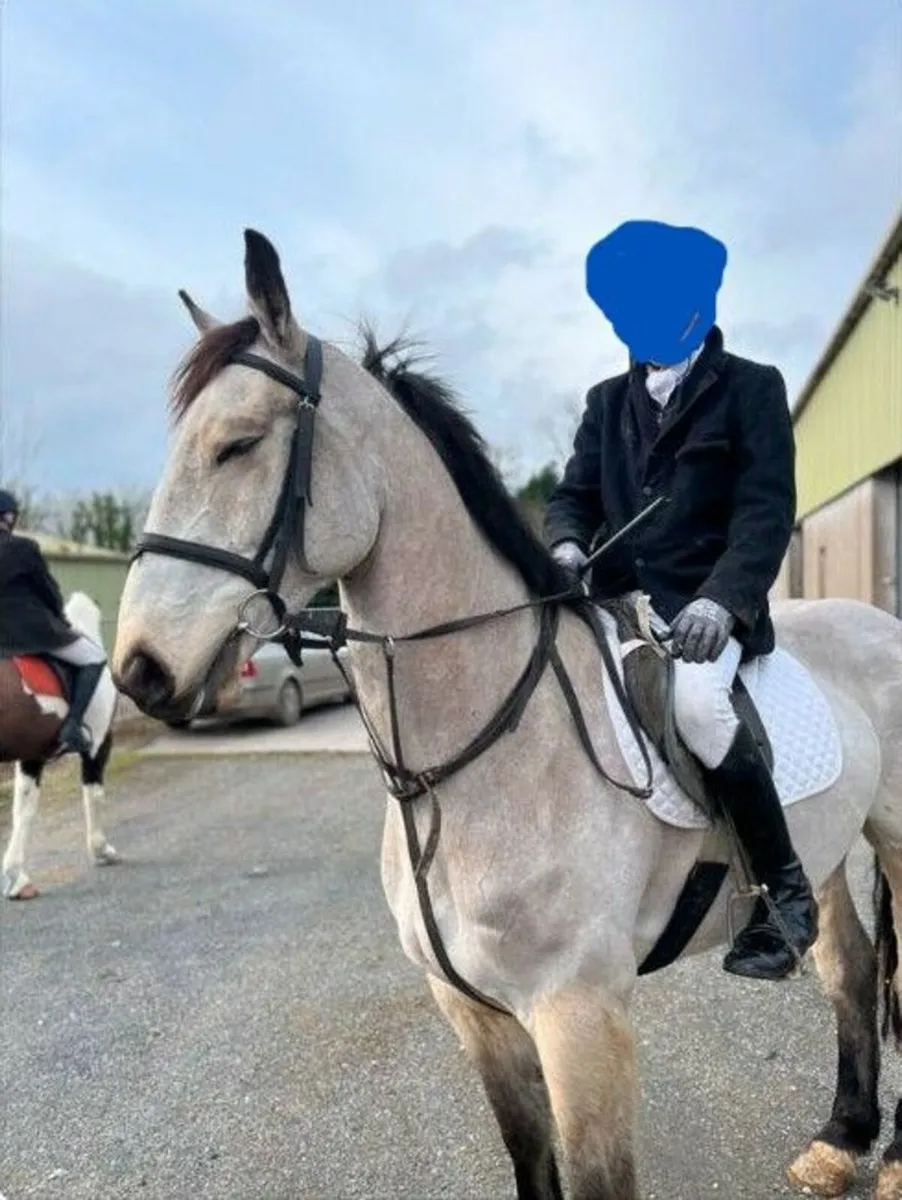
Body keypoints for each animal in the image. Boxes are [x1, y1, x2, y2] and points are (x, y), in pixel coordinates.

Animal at [1, 591, 120, 900]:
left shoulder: (31, 755)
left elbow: (23, 809)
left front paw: (16, 876)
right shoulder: (98, 744)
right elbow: (93, 795)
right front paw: (101, 850)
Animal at [111, 228, 902, 1200]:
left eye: (237, 445)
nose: (140, 670)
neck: (472, 766)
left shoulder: (579, 1017)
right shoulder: (473, 1013)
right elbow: (531, 1160)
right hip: (823, 851)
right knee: (850, 968)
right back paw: (840, 1139)